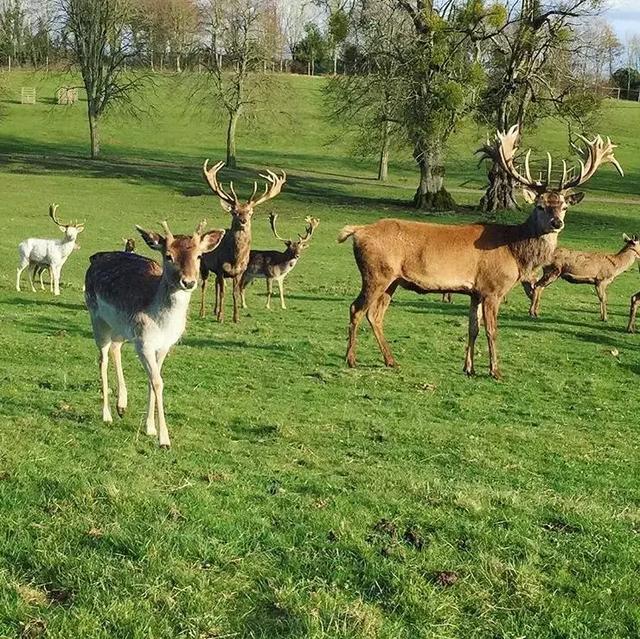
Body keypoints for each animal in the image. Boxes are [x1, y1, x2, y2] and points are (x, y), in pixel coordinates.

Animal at [84, 220, 225, 450]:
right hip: (97, 318)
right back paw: (107, 414)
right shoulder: (144, 342)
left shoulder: (164, 345)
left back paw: (122, 405)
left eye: (199, 256)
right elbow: (158, 382)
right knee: (102, 358)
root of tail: (95, 258)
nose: (188, 282)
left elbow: (153, 379)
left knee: (115, 348)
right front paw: (164, 440)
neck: (162, 322)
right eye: (168, 255)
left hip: (121, 329)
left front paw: (150, 428)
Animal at [199, 158, 286, 322]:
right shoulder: (220, 268)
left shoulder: (239, 272)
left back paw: (215, 310)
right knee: (204, 285)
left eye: (250, 212)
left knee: (216, 285)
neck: (235, 258)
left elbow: (234, 293)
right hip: (204, 265)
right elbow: (223, 293)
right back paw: (203, 312)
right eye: (234, 212)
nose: (243, 220)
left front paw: (236, 318)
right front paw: (221, 317)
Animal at [338, 126, 624, 380]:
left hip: (393, 280)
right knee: (356, 308)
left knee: (375, 315)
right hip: (376, 273)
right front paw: (495, 371)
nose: (557, 223)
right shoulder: (492, 288)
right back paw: (351, 359)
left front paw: (469, 368)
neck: (514, 251)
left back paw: (391, 360)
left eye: (564, 206)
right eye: (540, 206)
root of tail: (358, 231)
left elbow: (472, 329)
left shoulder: (475, 291)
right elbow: (492, 331)